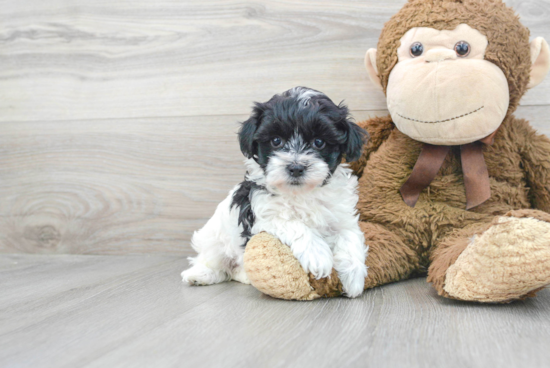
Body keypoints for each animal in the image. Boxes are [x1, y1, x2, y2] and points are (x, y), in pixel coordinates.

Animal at [182, 87, 370, 298]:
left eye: (319, 142)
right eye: (276, 141)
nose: (296, 167)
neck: (301, 193)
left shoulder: (341, 214)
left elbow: (349, 235)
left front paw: (354, 277)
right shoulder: (263, 217)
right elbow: (294, 224)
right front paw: (318, 256)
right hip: (214, 237)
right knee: (213, 260)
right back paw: (199, 274)